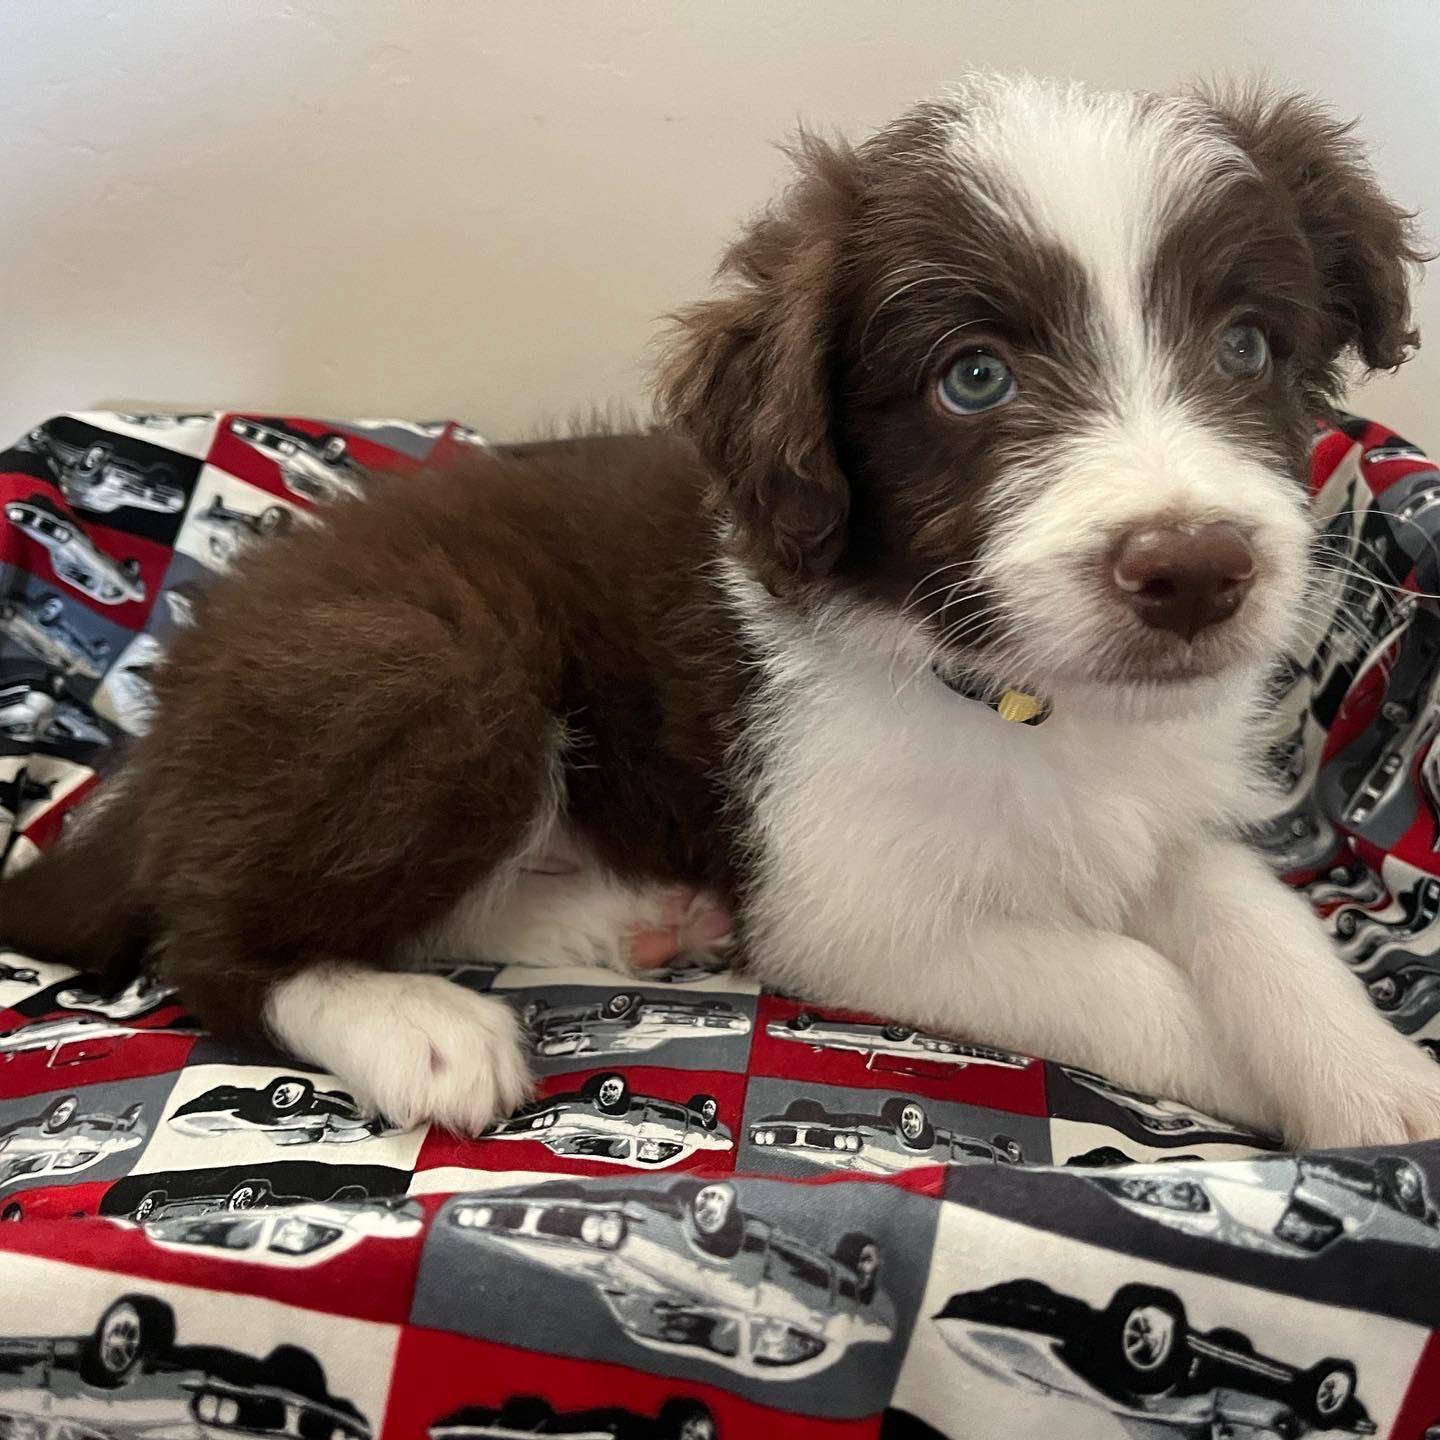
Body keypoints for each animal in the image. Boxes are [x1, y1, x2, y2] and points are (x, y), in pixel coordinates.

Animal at [2, 74, 1435, 1150]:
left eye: (1247, 346)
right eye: (974, 378)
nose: (1195, 571)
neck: (1027, 699)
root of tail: (179, 707)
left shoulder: (1157, 808)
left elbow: (1255, 918)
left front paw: (1377, 1083)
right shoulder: (853, 915)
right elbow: (1127, 983)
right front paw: (1248, 1075)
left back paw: (613, 916)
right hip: (432, 667)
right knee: (208, 943)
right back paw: (420, 1026)